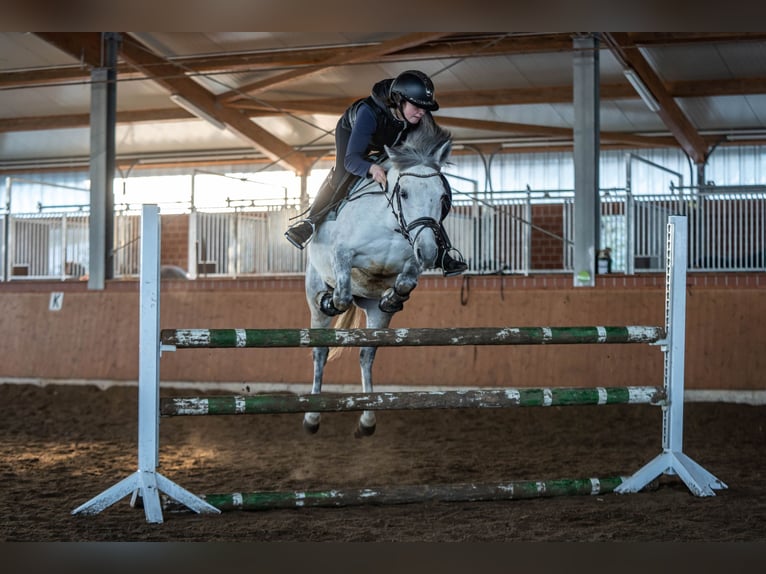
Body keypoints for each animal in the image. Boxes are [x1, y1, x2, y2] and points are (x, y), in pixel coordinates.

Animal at [302, 118, 456, 440]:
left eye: (442, 196)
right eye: (404, 193)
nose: (429, 251)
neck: (390, 225)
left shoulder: (412, 262)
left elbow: (407, 280)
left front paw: (394, 297)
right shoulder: (342, 254)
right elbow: (342, 292)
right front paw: (332, 301)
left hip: (373, 313)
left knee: (366, 354)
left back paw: (367, 420)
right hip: (313, 290)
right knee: (320, 350)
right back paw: (311, 418)